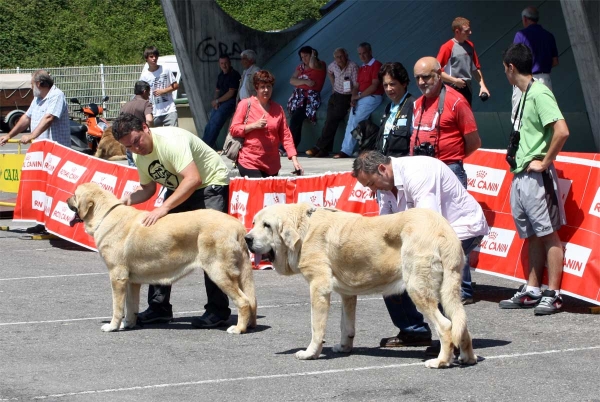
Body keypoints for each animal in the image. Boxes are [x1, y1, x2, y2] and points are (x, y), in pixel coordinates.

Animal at [245, 203, 478, 370]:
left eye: (267, 225)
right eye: (254, 222)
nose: (247, 238)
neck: (304, 228)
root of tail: (442, 229)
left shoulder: (318, 287)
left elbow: (316, 327)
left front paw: (311, 353)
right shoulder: (348, 294)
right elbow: (346, 326)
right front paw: (344, 347)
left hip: (417, 289)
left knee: (446, 326)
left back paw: (441, 361)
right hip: (448, 290)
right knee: (461, 321)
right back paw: (468, 358)